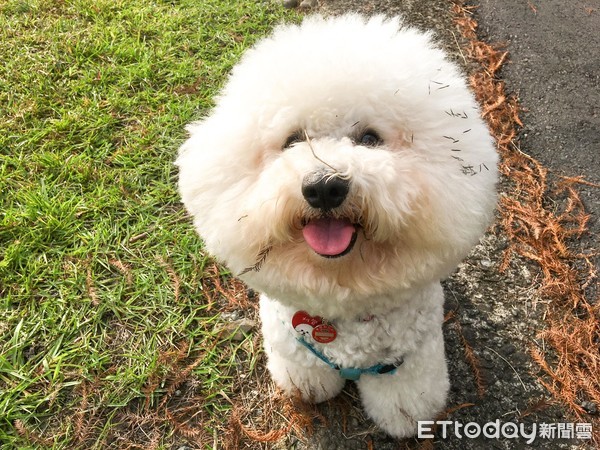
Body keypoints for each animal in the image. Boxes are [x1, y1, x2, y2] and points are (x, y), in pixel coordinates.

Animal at [176, 14, 500, 440]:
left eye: (369, 138)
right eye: (293, 140)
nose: (324, 188)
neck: (341, 290)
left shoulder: (413, 352)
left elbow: (408, 397)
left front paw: (407, 414)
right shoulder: (287, 339)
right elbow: (304, 370)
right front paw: (308, 386)